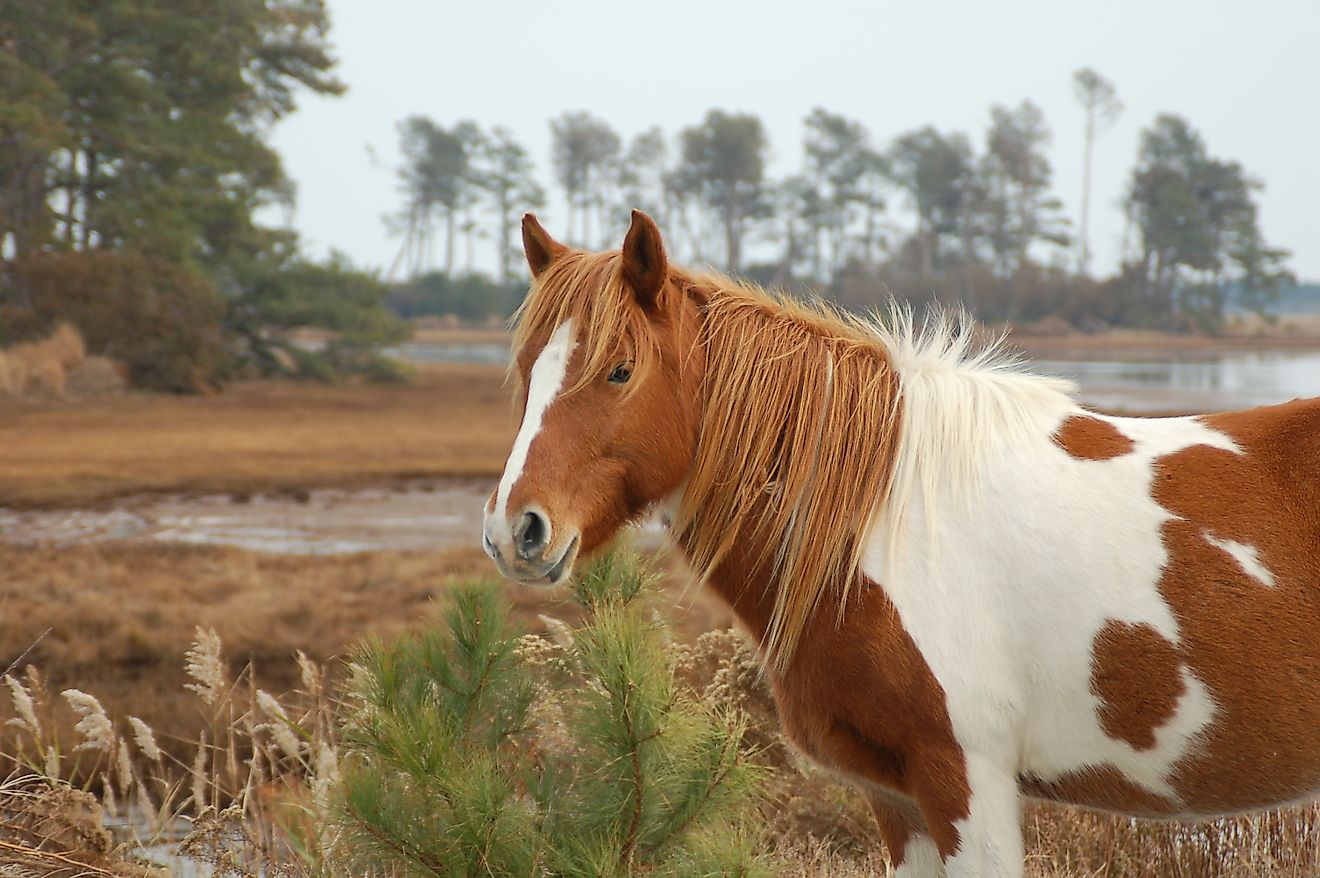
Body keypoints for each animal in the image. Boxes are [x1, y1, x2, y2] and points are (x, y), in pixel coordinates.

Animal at [488, 208, 1320, 871]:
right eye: (526, 370)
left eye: (619, 370)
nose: (515, 530)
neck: (890, 520)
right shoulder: (899, 800)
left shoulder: (966, 785)